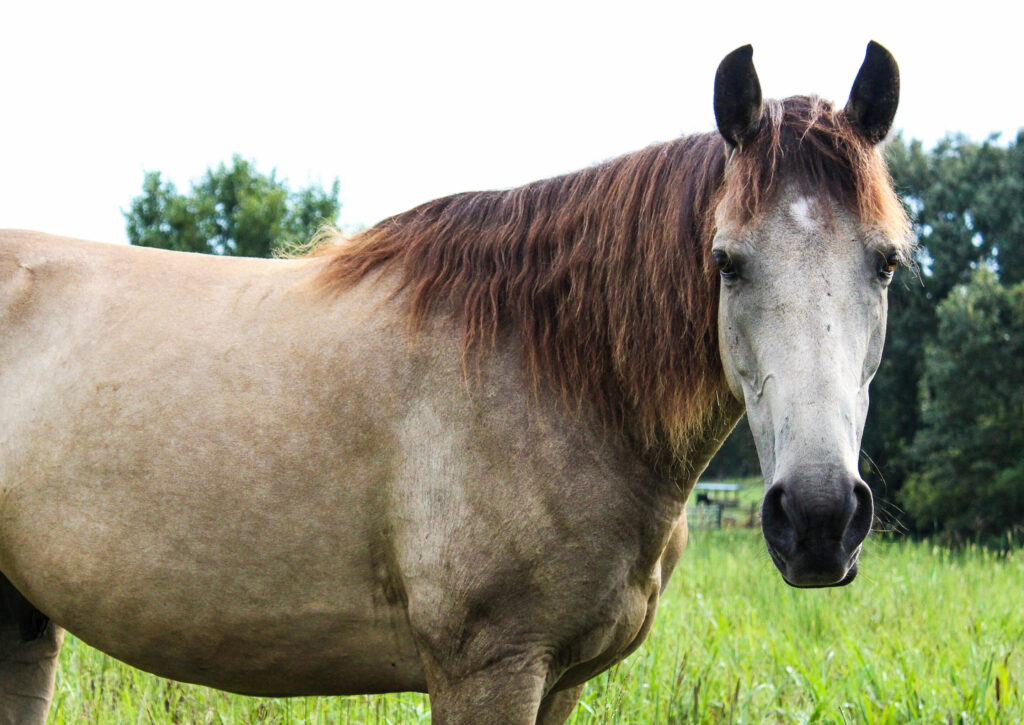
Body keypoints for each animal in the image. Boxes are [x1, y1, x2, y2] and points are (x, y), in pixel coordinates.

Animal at [0, 42, 913, 720]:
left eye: (886, 262)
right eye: (727, 260)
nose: (820, 517)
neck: (555, 373)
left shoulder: (561, 680)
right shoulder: (490, 669)